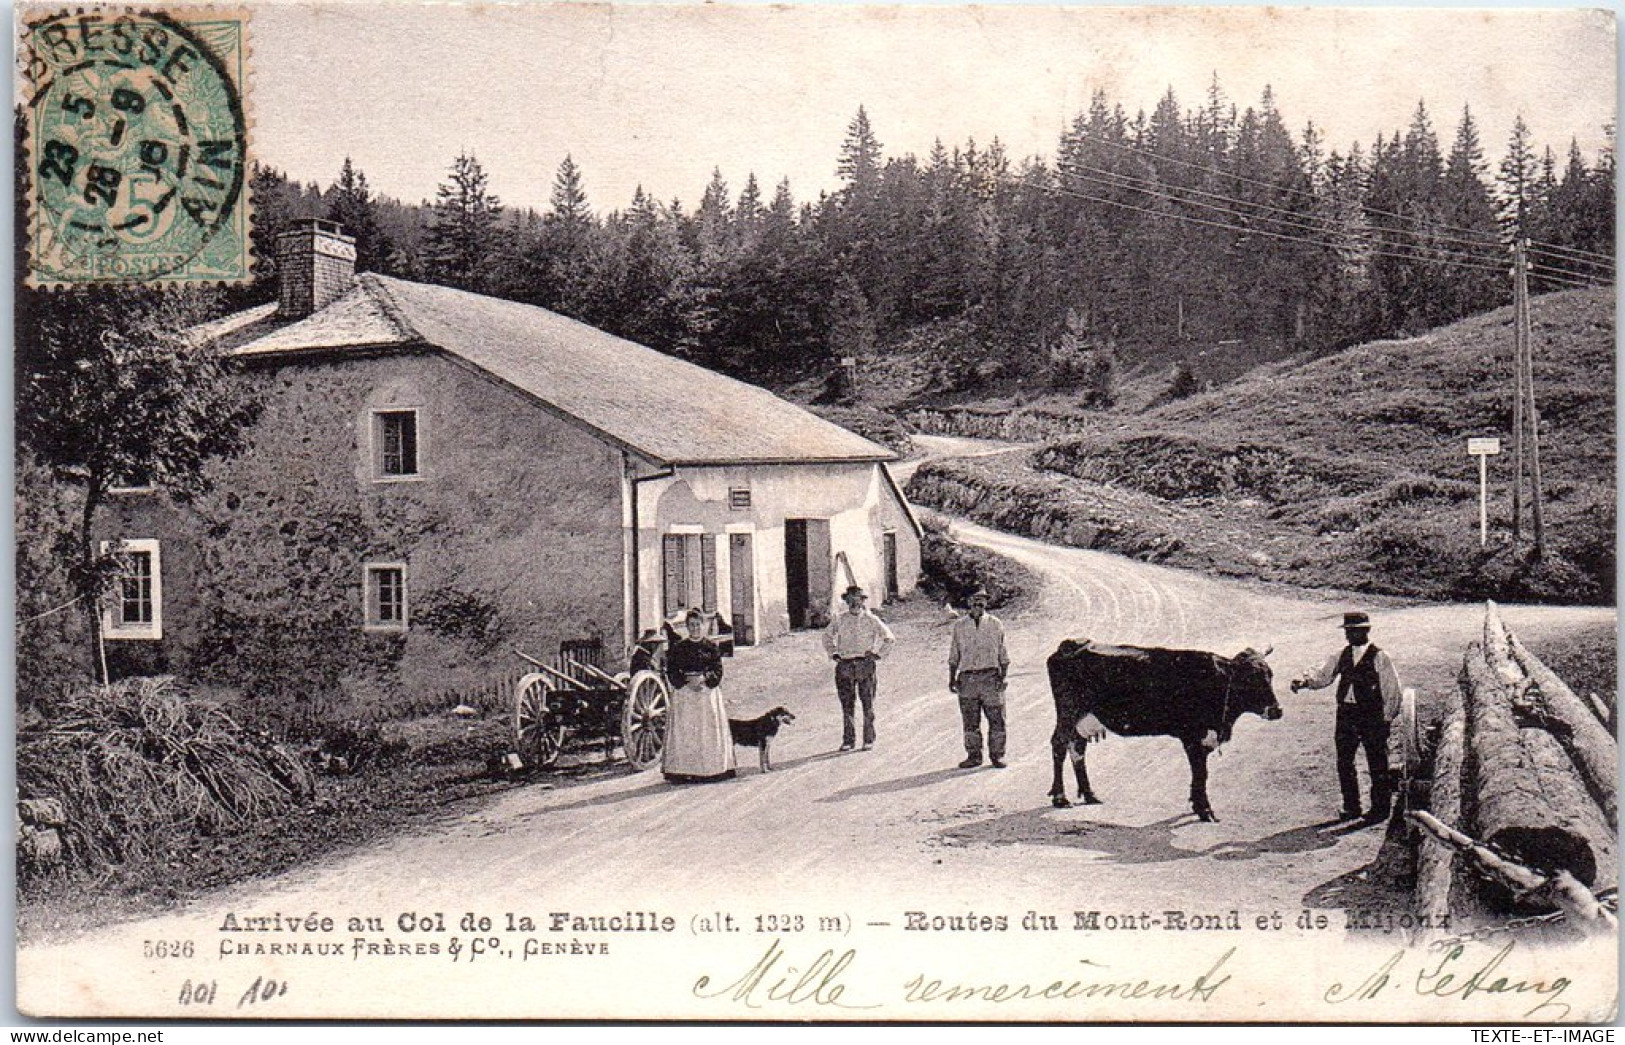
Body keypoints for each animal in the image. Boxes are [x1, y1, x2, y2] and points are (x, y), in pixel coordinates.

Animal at [1053, 640, 1280, 822]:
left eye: (1270, 675)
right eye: (1249, 678)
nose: (1276, 710)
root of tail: (1072, 644)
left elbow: (1201, 775)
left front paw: (1196, 803)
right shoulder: (1192, 737)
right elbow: (1200, 773)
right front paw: (1205, 810)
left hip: (1082, 720)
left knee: (1078, 749)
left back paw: (1089, 794)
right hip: (1068, 714)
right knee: (1059, 746)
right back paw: (1060, 797)